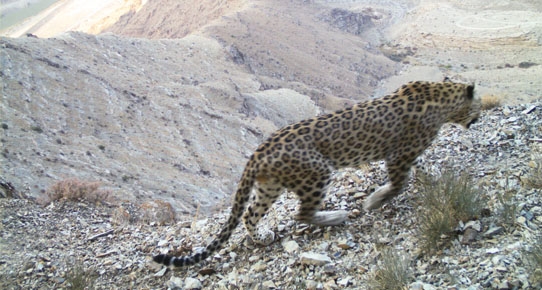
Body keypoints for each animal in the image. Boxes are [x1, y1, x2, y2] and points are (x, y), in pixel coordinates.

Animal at [155, 80, 482, 268]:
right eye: (479, 103)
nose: (479, 116)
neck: (442, 100)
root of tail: (258, 151)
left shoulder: (408, 153)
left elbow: (420, 168)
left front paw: (433, 175)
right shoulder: (399, 155)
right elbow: (399, 184)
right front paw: (375, 200)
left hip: (269, 187)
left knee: (250, 214)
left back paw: (263, 237)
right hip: (318, 172)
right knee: (301, 213)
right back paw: (336, 216)